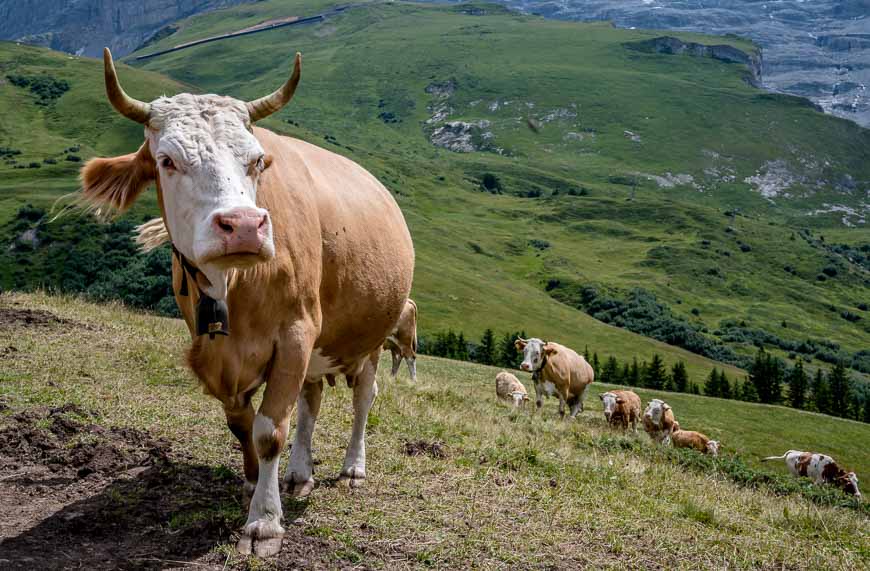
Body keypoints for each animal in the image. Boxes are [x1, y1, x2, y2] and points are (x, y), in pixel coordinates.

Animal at [79, 50, 416, 560]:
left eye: (256, 161)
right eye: (166, 160)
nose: (242, 225)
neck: (232, 286)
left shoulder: (295, 333)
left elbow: (269, 429)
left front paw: (264, 521)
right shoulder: (218, 349)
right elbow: (242, 424)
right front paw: (254, 483)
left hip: (372, 335)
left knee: (363, 396)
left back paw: (353, 468)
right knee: (311, 400)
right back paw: (298, 474)